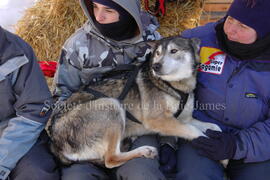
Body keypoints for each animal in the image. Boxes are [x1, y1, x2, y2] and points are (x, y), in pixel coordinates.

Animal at [48, 36, 221, 169]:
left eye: (174, 51)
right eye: (158, 53)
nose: (155, 66)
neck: (172, 85)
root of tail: (54, 142)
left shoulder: (184, 118)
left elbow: (212, 127)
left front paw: (218, 138)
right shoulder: (158, 120)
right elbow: (195, 131)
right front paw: (215, 150)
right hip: (111, 105)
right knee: (111, 159)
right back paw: (144, 151)